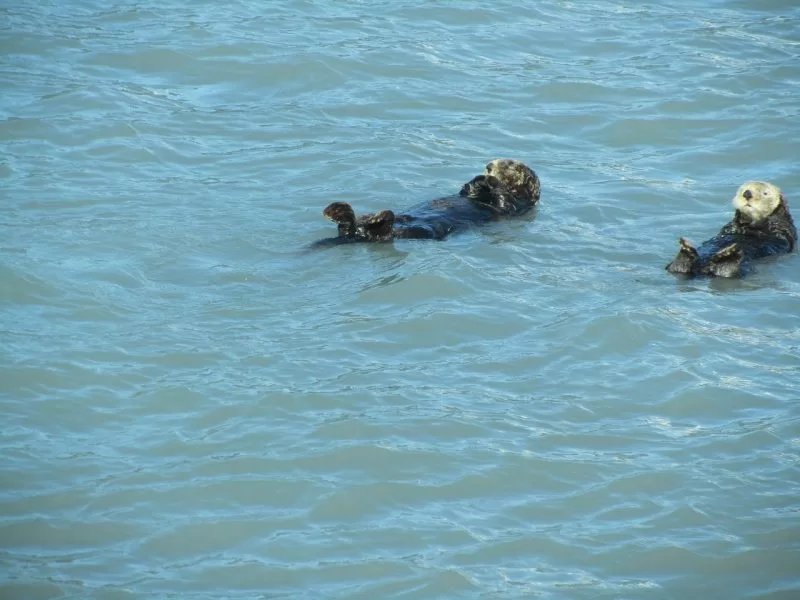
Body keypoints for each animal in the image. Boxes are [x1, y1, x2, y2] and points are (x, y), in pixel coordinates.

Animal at [312, 159, 540, 246]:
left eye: (508, 165)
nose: (489, 165)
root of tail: (357, 236)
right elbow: (465, 191)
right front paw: (475, 180)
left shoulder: (515, 206)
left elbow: (504, 199)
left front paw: (489, 179)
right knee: (349, 225)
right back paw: (336, 210)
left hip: (415, 232)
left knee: (381, 232)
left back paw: (378, 218)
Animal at [666, 181, 796, 278]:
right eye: (743, 190)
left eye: (765, 193)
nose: (747, 194)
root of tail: (703, 270)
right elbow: (731, 227)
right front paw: (739, 223)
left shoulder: (784, 227)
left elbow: (778, 228)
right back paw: (686, 251)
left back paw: (727, 256)